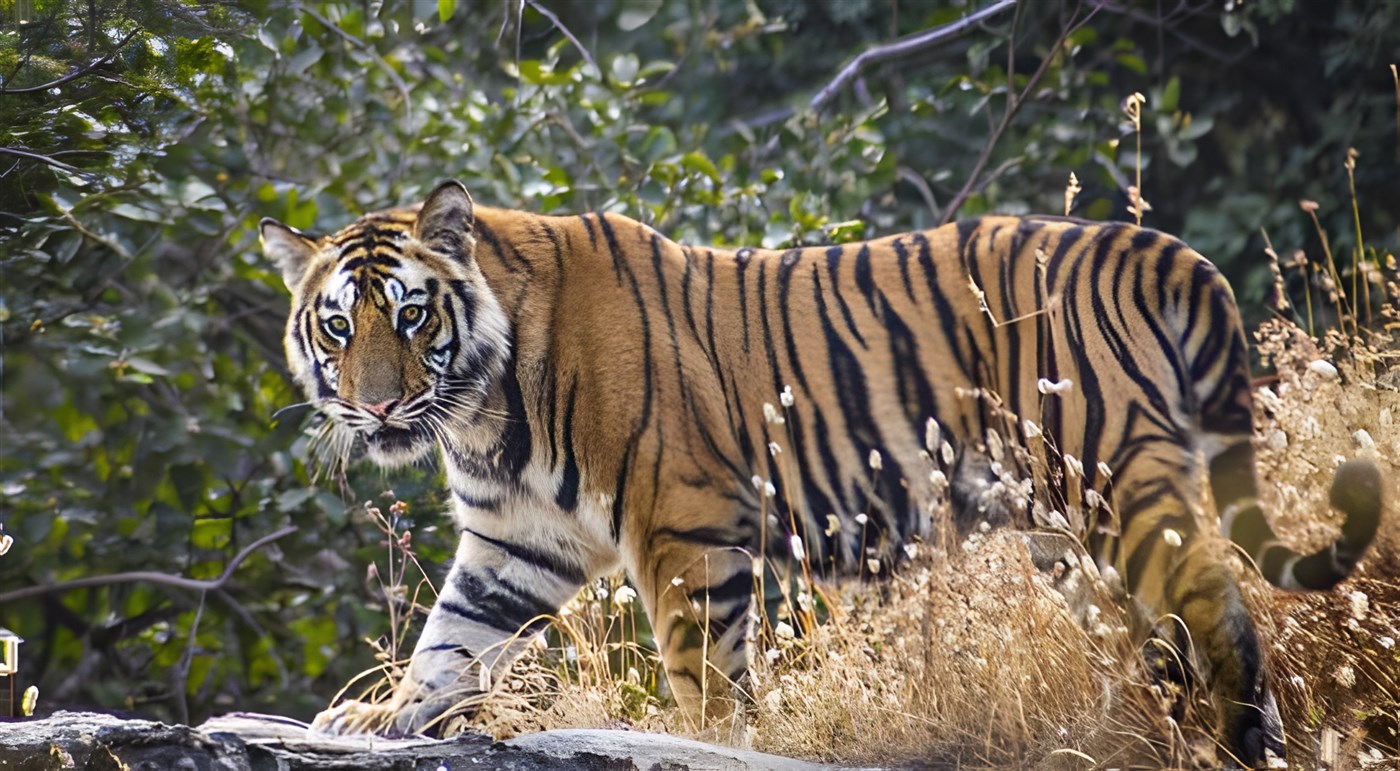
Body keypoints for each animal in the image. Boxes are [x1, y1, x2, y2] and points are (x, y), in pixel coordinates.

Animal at [259, 179, 1382, 768]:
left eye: (411, 316)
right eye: (338, 325)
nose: (376, 405)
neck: (480, 408)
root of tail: (1153, 247)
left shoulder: (682, 521)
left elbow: (705, 672)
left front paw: (699, 741)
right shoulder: (514, 540)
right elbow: (453, 639)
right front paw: (382, 716)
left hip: (1106, 471)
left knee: (1216, 600)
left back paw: (1239, 744)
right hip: (1064, 527)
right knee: (1157, 637)